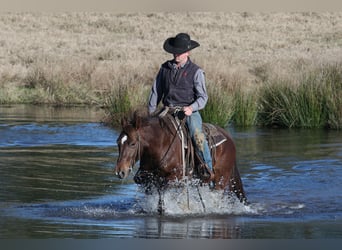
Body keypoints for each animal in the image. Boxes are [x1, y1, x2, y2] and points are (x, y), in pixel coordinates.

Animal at [114, 111, 246, 213]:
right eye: (118, 142)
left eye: (133, 143)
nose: (120, 171)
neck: (161, 145)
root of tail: (229, 138)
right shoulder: (148, 180)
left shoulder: (174, 179)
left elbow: (163, 202)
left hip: (221, 179)